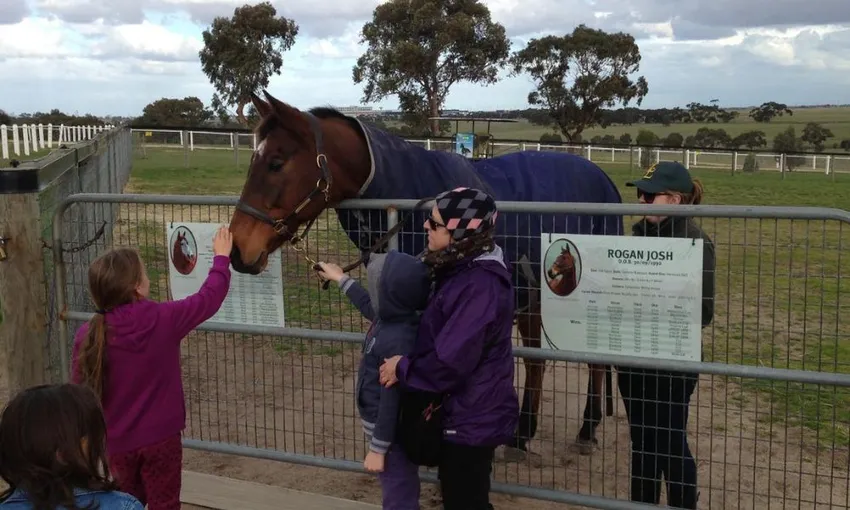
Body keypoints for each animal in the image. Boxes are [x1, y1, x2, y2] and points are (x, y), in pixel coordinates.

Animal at [228, 90, 623, 457]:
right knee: (539, 360)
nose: (238, 251)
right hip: (533, 295)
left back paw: (584, 430)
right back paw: (527, 435)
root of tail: (604, 179)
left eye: (276, 162)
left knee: (589, 359)